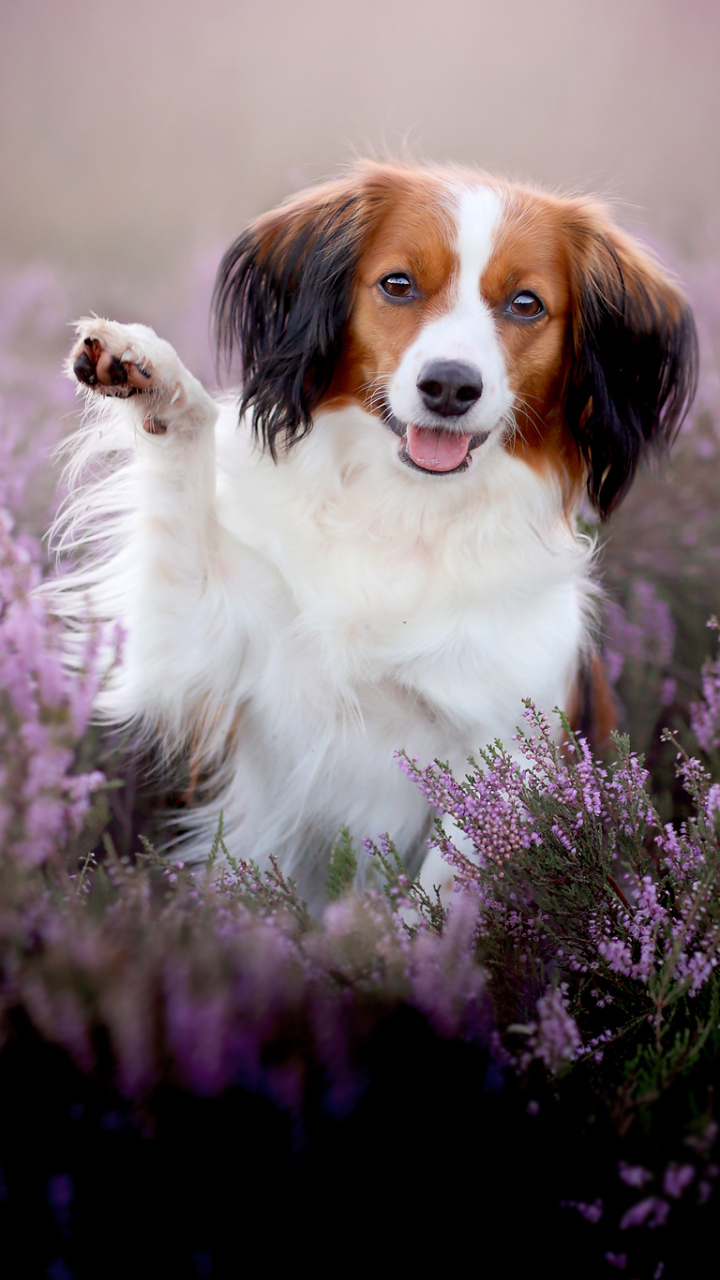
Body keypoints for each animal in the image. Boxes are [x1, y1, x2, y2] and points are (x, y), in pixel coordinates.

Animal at [54, 157, 696, 901]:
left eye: (526, 304)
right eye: (398, 284)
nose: (450, 386)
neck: (407, 513)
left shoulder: (501, 763)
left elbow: (436, 910)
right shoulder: (203, 644)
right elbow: (185, 461)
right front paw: (151, 373)